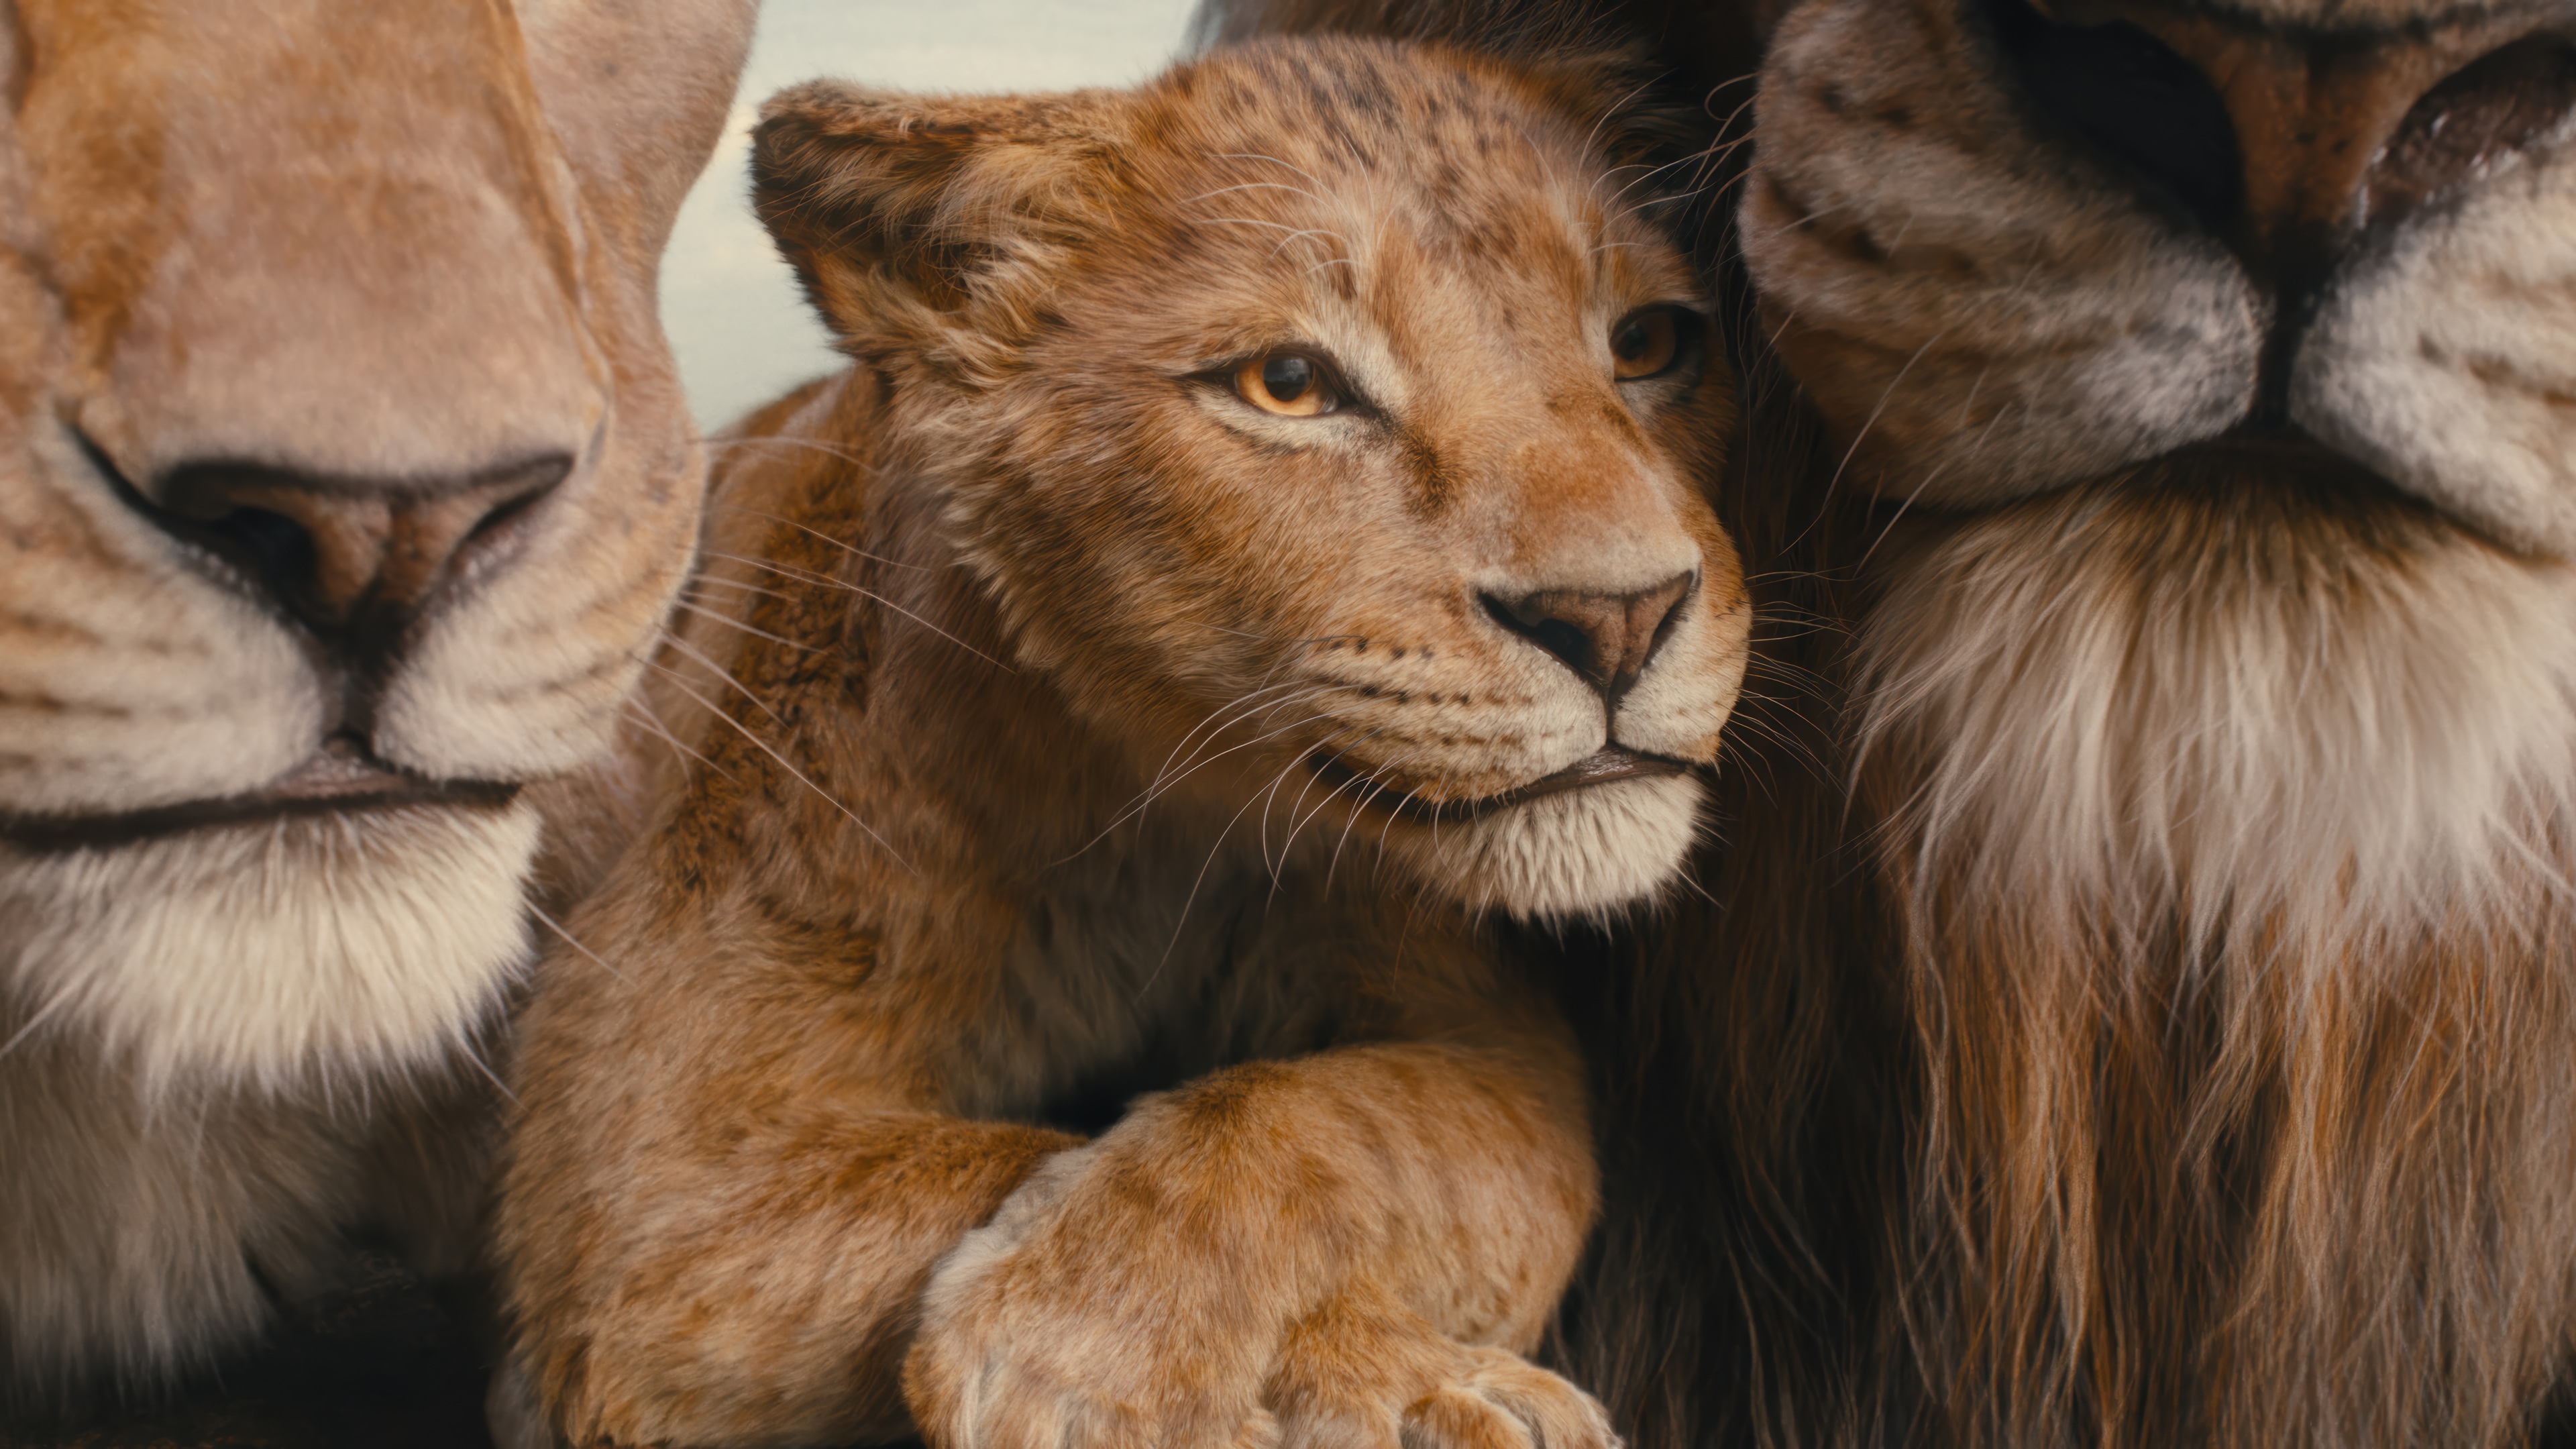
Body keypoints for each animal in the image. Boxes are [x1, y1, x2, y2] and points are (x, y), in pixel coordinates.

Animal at [490, 34, 1750, 1449]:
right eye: (1288, 386)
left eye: (1649, 342)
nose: (1620, 618)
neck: (1155, 815)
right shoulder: (646, 1167)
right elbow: (983, 1161)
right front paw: (1142, 1364)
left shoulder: (1489, 1036)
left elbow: (1363, 1125)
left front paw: (1097, 1330)